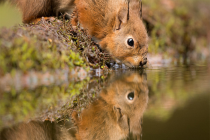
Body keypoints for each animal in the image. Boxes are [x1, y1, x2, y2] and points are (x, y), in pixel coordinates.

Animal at [11, 0, 148, 68]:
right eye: (130, 42)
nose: (143, 62)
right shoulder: (86, 7)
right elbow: (76, 13)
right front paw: (74, 26)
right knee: (26, 18)